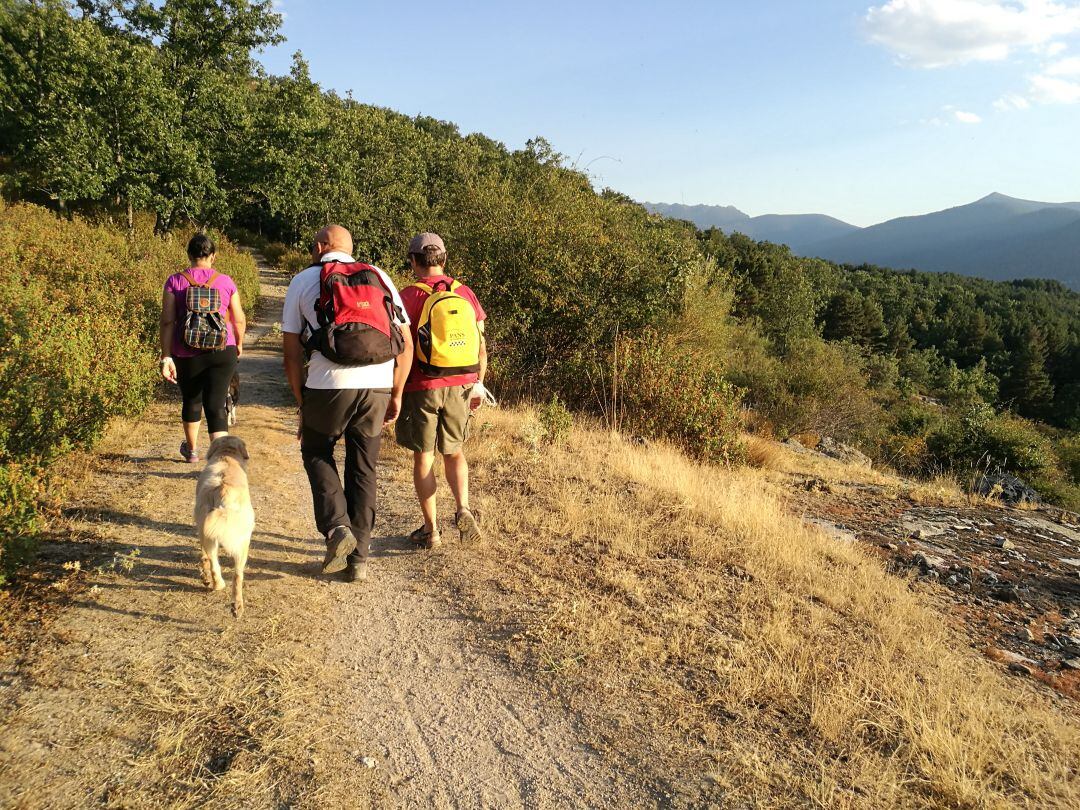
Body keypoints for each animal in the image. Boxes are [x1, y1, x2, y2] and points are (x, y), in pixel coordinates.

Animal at [194, 440, 252, 617]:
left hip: (209, 534)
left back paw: (215, 584)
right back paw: (236, 606)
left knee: (213, 563)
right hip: (243, 543)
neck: (227, 454)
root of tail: (223, 490)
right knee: (237, 575)